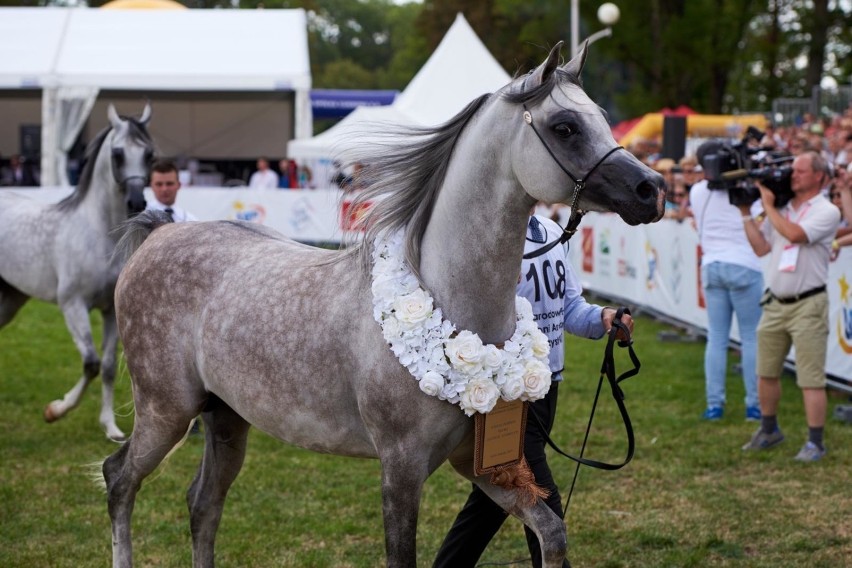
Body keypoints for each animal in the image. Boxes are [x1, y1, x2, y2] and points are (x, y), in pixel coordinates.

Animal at [0, 102, 153, 442]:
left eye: (149, 154)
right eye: (118, 154)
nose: (136, 202)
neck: (98, 234)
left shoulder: (110, 311)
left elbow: (107, 367)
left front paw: (110, 426)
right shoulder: (72, 305)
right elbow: (91, 363)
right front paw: (55, 410)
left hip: (10, 298)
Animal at [105, 44, 664, 568]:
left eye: (602, 118)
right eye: (565, 126)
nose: (652, 190)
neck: (451, 298)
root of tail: (158, 234)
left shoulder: (477, 464)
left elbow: (552, 533)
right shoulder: (401, 468)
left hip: (225, 420)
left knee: (202, 505)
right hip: (166, 411)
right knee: (119, 480)